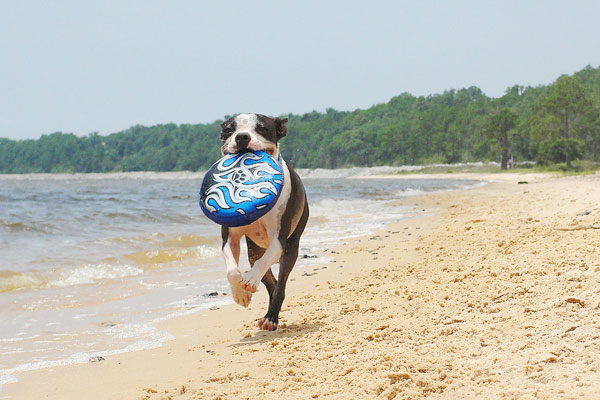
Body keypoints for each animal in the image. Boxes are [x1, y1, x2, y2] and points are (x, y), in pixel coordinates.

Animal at [218, 112, 310, 332]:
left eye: (261, 128)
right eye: (229, 130)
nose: (242, 137)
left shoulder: (279, 239)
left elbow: (264, 262)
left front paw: (250, 279)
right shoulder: (230, 237)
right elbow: (232, 270)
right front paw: (241, 294)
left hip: (291, 248)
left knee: (280, 283)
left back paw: (271, 318)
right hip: (254, 249)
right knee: (272, 283)